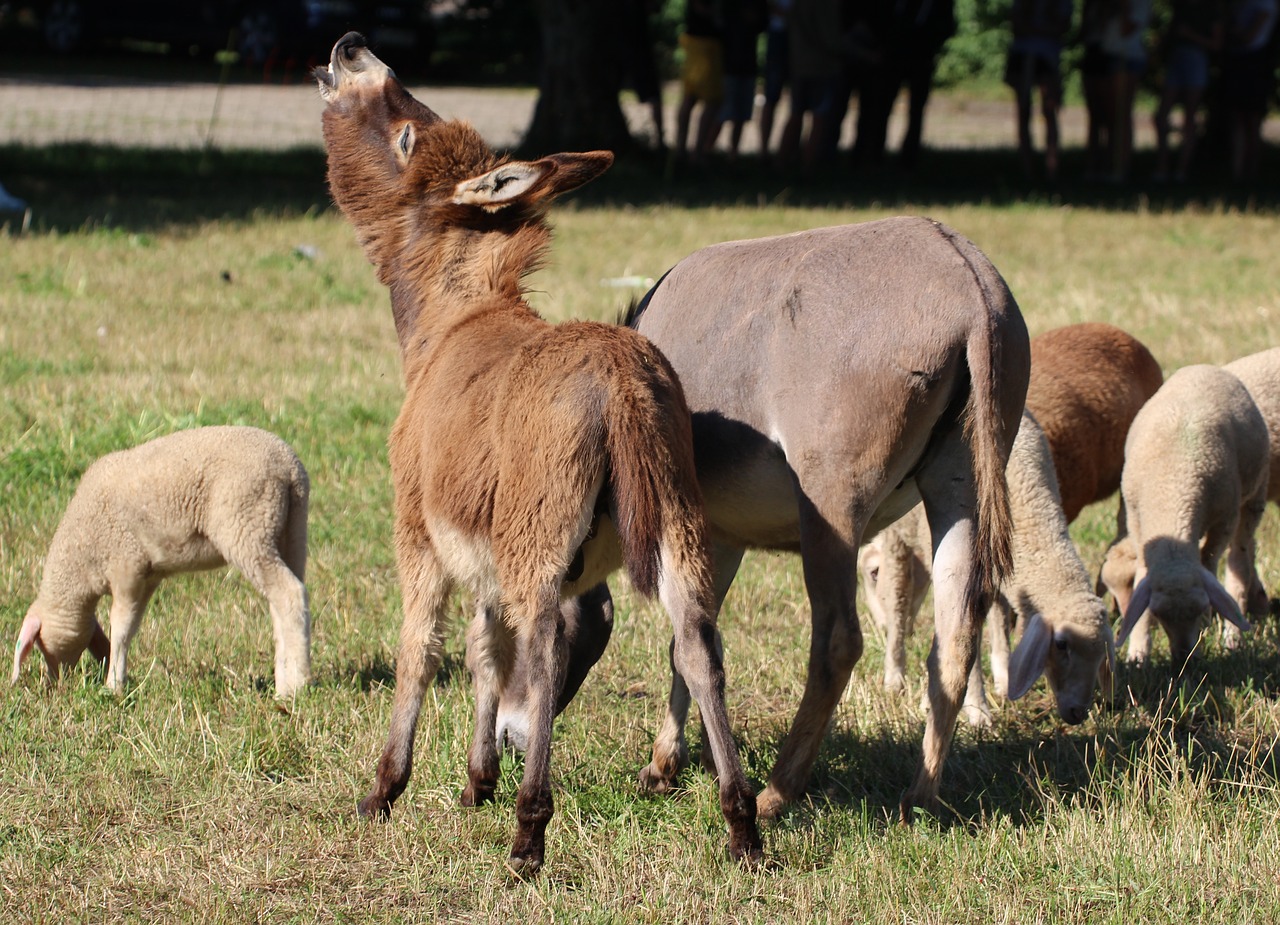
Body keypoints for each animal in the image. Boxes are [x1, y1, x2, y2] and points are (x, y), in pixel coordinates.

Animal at [13, 424, 312, 695]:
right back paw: (284, 680)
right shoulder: (148, 575)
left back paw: (296, 686)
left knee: (288, 593)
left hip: (246, 526)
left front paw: (113, 686)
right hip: (290, 531)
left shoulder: (126, 564)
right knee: (282, 601)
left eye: (37, 644)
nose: (55, 685)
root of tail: (288, 466)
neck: (81, 556)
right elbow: (132, 626)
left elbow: (120, 627)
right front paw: (119, 677)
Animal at [316, 34, 757, 875]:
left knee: (548, 651)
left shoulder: (419, 532)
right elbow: (485, 651)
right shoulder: (483, 553)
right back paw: (741, 826)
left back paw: (529, 831)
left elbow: (421, 648)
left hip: (540, 541)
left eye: (406, 135)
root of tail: (618, 374)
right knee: (698, 643)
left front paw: (385, 789)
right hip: (678, 526)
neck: (454, 321)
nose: (352, 48)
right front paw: (475, 780)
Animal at [860, 409, 1111, 721]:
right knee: (898, 599)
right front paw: (976, 708)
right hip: (899, 535)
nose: (1077, 713)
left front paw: (1003, 679)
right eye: (1061, 644)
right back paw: (894, 676)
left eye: (1102, 653)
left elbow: (1000, 623)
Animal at [1105, 365, 1264, 670]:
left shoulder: (1224, 520)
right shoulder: (1137, 523)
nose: (1184, 658)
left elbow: (1209, 561)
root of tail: (1202, 367)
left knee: (1241, 552)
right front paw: (1138, 652)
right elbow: (1141, 575)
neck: (1173, 488)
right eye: (1158, 613)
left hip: (1252, 495)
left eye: (1200, 608)